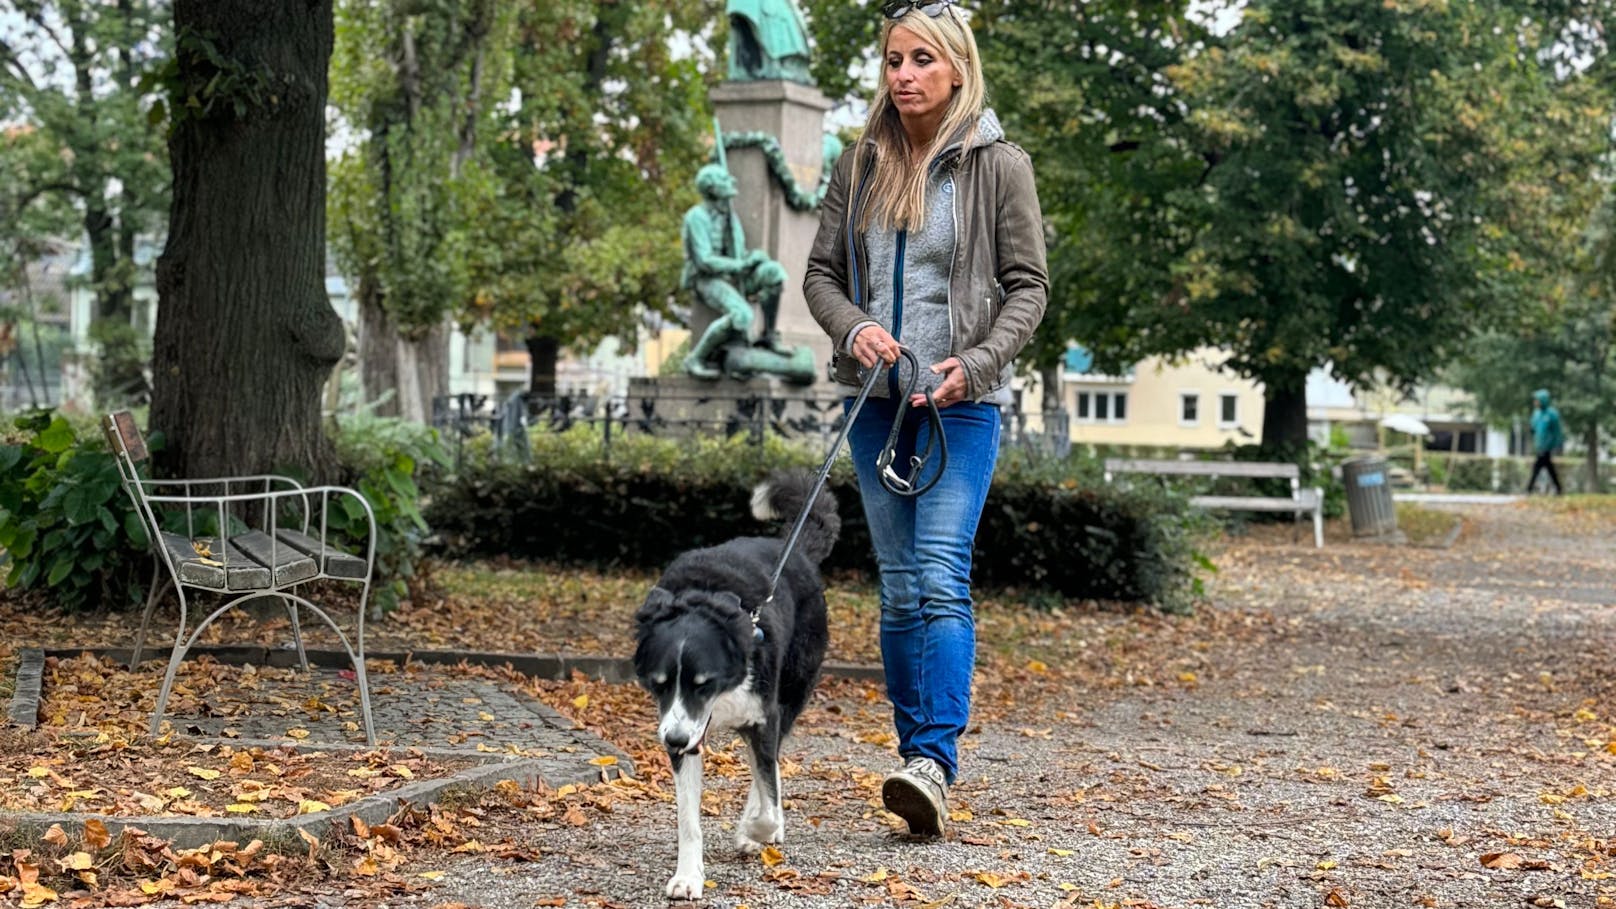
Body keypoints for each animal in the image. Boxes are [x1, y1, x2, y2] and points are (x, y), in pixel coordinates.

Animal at [630, 469, 840, 892]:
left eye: (703, 683)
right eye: (659, 684)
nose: (674, 741)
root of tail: (793, 549)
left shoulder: (762, 716)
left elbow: (769, 794)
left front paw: (754, 830)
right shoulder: (683, 728)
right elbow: (688, 821)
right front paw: (688, 877)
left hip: (790, 696)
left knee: (770, 766)